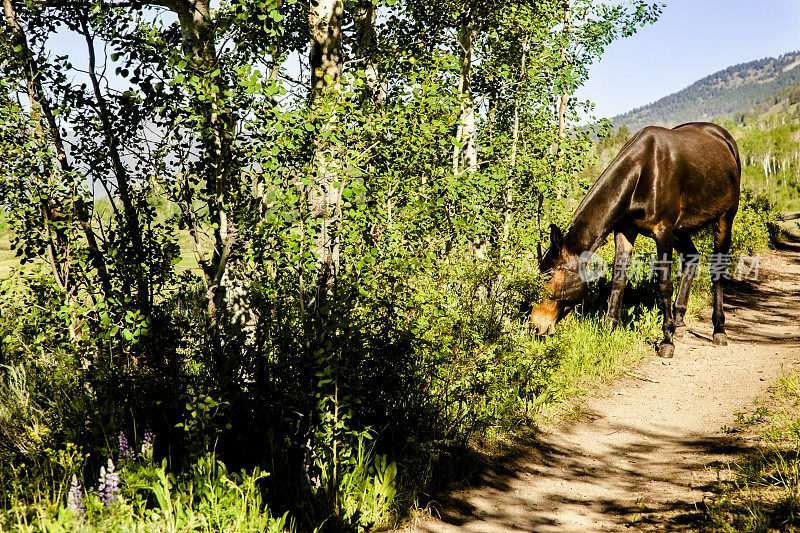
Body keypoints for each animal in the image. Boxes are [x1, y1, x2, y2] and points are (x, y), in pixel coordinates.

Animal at [532, 121, 744, 358]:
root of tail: (724, 138)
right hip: (681, 230)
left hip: (724, 219)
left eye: (550, 280)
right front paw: (608, 329)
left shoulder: (663, 231)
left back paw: (718, 330)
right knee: (692, 258)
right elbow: (618, 280)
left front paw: (666, 341)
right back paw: (680, 322)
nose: (536, 326)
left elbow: (664, 284)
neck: (642, 173)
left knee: (717, 270)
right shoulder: (625, 231)